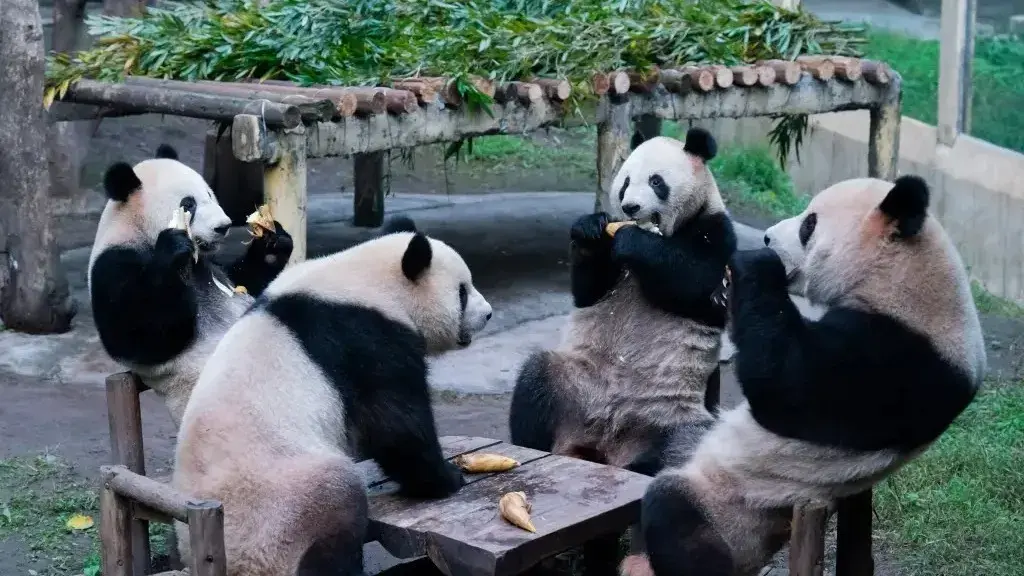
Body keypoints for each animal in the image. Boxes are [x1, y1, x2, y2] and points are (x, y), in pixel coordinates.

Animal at [87, 144, 293, 424]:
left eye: (209, 193)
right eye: (188, 203)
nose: (224, 226)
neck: (137, 230)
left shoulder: (213, 267)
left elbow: (248, 281)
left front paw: (272, 242)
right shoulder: (112, 266)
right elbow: (137, 334)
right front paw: (173, 249)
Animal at [172, 216, 493, 576]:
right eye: (462, 292)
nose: (488, 314)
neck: (367, 281)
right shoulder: (365, 341)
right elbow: (396, 425)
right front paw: (447, 478)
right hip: (287, 502)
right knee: (337, 514)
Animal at [508, 127, 738, 475]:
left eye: (657, 181)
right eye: (626, 182)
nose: (630, 207)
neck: (666, 232)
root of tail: (605, 447)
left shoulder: (716, 231)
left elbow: (697, 284)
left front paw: (633, 241)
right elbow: (589, 291)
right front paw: (589, 229)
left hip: (673, 411)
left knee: (686, 442)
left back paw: (646, 464)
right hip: (575, 382)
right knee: (535, 382)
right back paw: (531, 444)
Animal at [631, 175, 985, 576]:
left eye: (809, 225)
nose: (767, 238)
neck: (902, 277)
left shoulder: (900, 360)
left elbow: (787, 388)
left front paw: (754, 264)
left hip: (737, 509)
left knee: (676, 518)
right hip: (692, 446)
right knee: (661, 451)